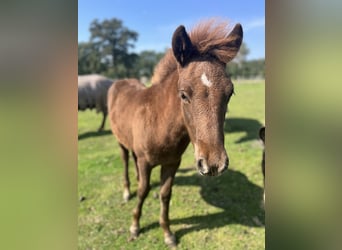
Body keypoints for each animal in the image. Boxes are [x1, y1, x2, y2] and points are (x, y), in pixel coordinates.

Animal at [107, 19, 243, 246]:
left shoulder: (172, 163)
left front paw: (168, 234)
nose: (214, 164)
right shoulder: (146, 161)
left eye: (230, 92)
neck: (159, 123)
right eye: (183, 94)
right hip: (120, 141)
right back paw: (127, 191)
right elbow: (143, 191)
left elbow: (165, 194)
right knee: (126, 160)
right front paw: (135, 226)